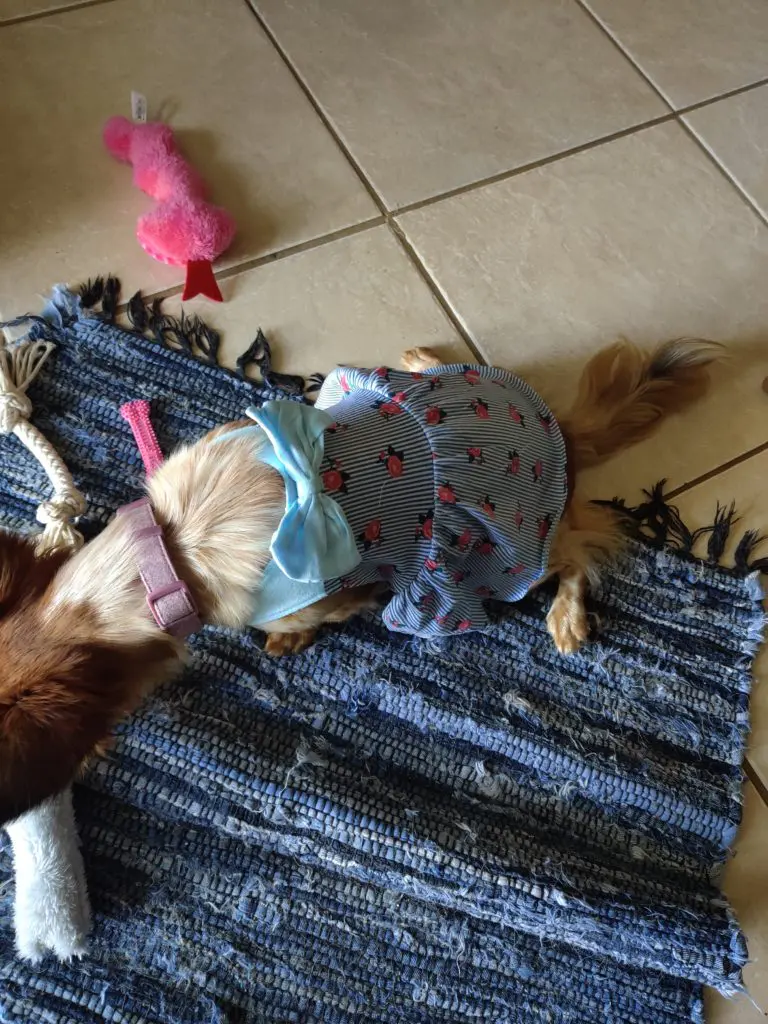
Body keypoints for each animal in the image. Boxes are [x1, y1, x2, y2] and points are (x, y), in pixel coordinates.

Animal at [0, 337, 720, 823]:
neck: (169, 552)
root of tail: (559, 430)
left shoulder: (319, 597)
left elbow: (322, 614)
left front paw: (292, 640)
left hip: (521, 550)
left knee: (584, 545)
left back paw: (567, 616)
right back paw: (420, 351)